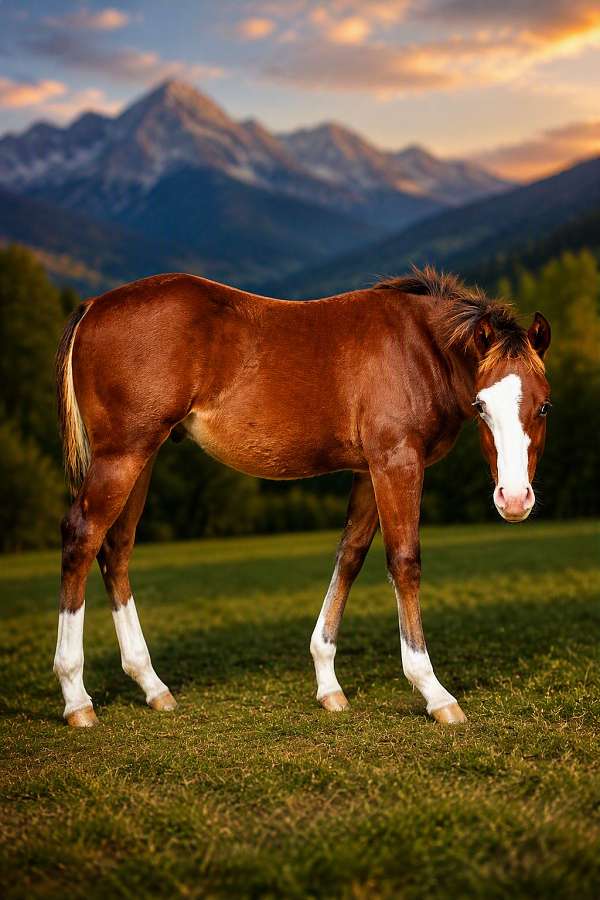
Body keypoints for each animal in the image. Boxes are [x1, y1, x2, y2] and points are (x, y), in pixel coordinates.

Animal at [53, 266, 551, 727]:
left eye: (544, 405)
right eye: (482, 405)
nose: (513, 499)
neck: (418, 348)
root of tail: (94, 306)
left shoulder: (367, 471)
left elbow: (349, 557)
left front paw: (328, 684)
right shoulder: (396, 462)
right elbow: (404, 562)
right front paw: (433, 691)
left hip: (143, 456)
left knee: (115, 550)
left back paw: (152, 685)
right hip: (123, 454)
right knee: (82, 536)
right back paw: (77, 697)